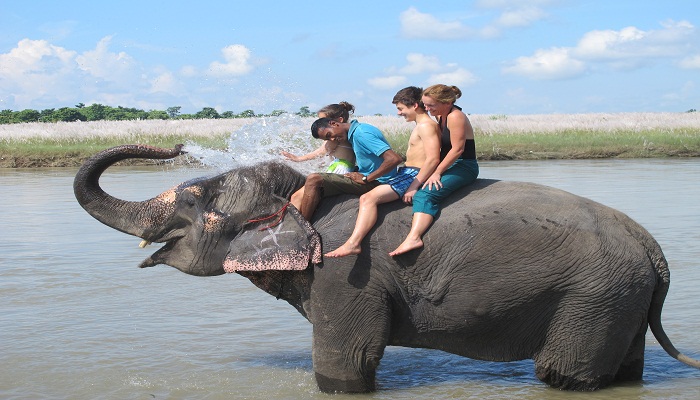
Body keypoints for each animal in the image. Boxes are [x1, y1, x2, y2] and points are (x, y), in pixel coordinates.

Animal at [74, 145, 696, 394]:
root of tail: (655, 252)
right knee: (625, 370)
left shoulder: (346, 272)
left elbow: (348, 361)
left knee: (565, 375)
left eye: (194, 200)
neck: (301, 198)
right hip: (619, 296)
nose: (174, 143)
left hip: (593, 295)